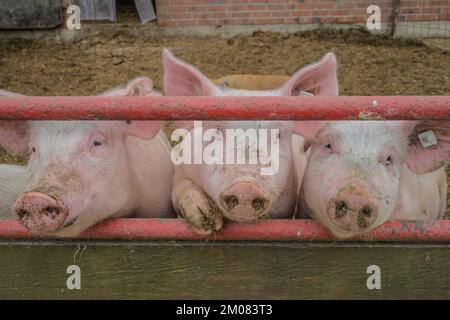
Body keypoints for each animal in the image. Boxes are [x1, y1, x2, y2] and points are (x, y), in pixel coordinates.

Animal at [162, 48, 338, 234]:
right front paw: (205, 220)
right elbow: (179, 188)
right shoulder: (179, 170)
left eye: (278, 135)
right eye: (216, 130)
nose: (245, 187)